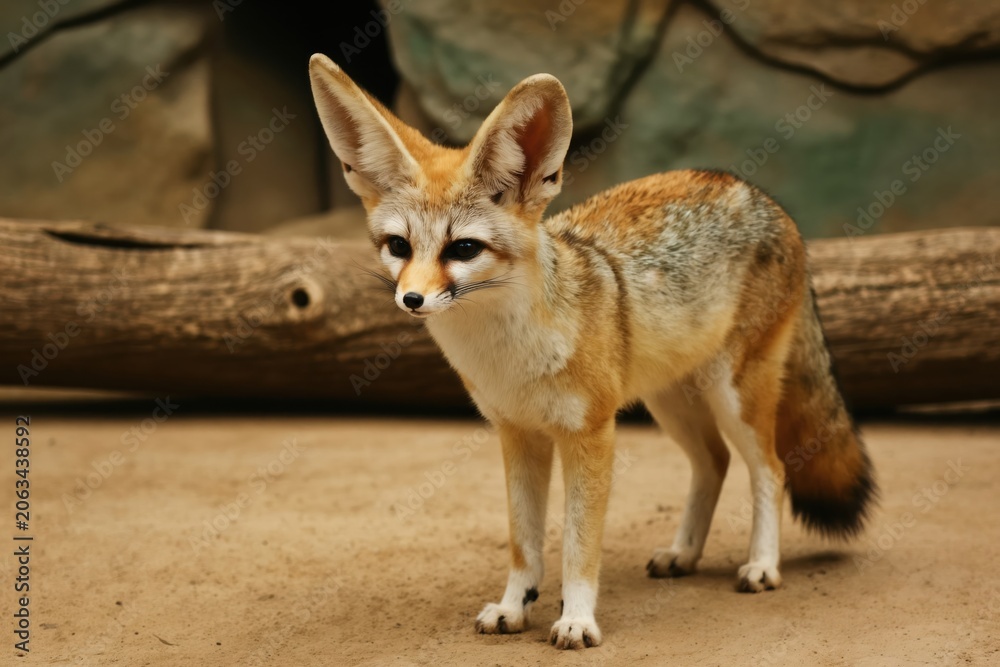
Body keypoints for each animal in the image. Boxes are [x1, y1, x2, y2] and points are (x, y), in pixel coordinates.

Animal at [308, 53, 877, 650]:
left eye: (462, 249)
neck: (509, 358)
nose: (412, 299)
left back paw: (763, 565)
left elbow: (579, 545)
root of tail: (758, 193)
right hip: (671, 404)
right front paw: (514, 607)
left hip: (734, 396)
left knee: (770, 468)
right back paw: (684, 553)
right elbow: (524, 544)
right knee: (714, 463)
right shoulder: (518, 435)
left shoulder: (591, 435)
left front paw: (577, 619)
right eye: (399, 246)